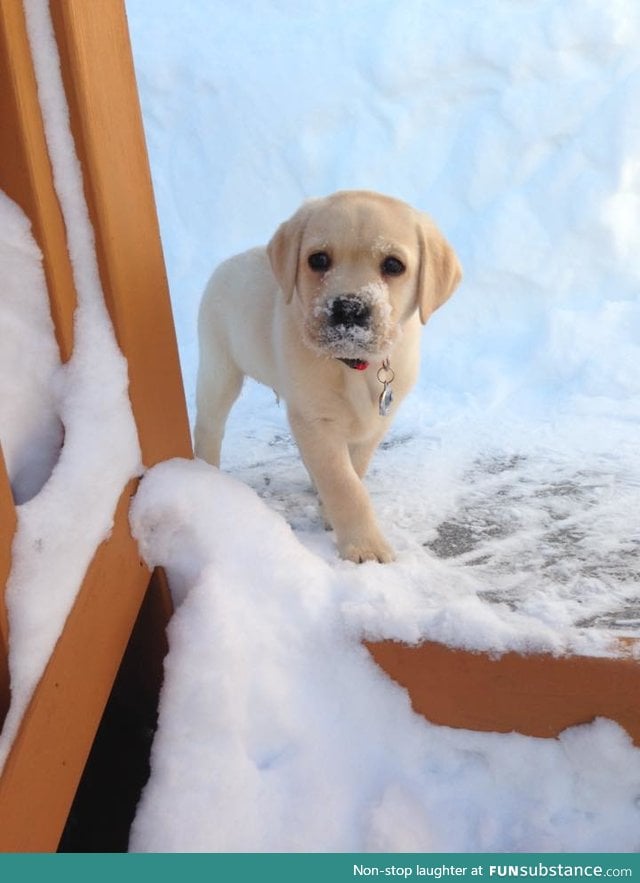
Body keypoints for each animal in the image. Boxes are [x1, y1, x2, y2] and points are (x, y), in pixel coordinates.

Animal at [195, 194, 460, 568]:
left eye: (394, 265)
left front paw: (330, 511)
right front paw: (364, 546)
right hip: (219, 367)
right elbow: (344, 485)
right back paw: (206, 476)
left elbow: (354, 470)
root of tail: (229, 262)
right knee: (209, 427)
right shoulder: (315, 419)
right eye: (318, 259)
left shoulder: (374, 423)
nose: (348, 308)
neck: (353, 366)